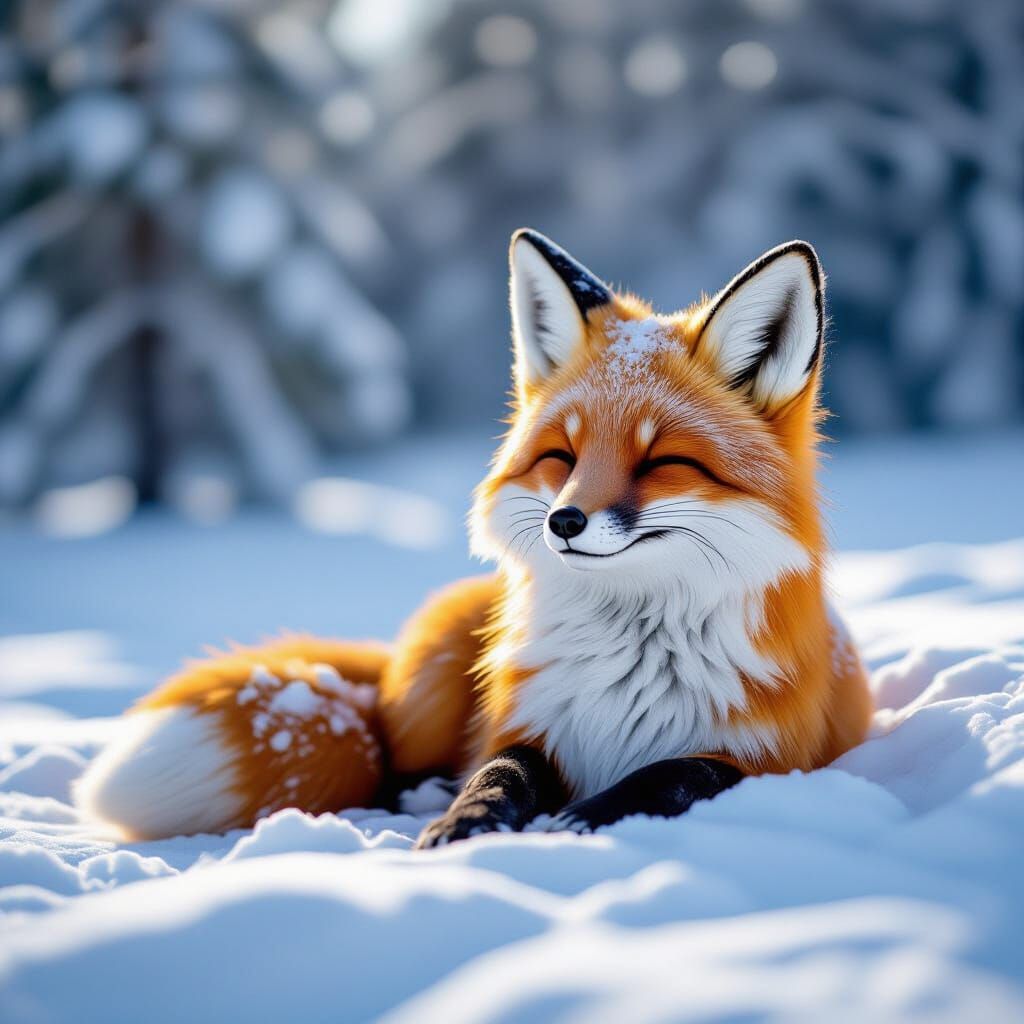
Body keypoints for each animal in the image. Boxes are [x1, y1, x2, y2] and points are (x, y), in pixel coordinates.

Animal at [75, 230, 872, 845]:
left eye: (661, 462)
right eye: (563, 457)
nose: (564, 522)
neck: (628, 664)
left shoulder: (772, 759)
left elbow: (676, 774)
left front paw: (584, 818)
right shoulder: (524, 729)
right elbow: (500, 772)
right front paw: (468, 821)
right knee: (389, 763)